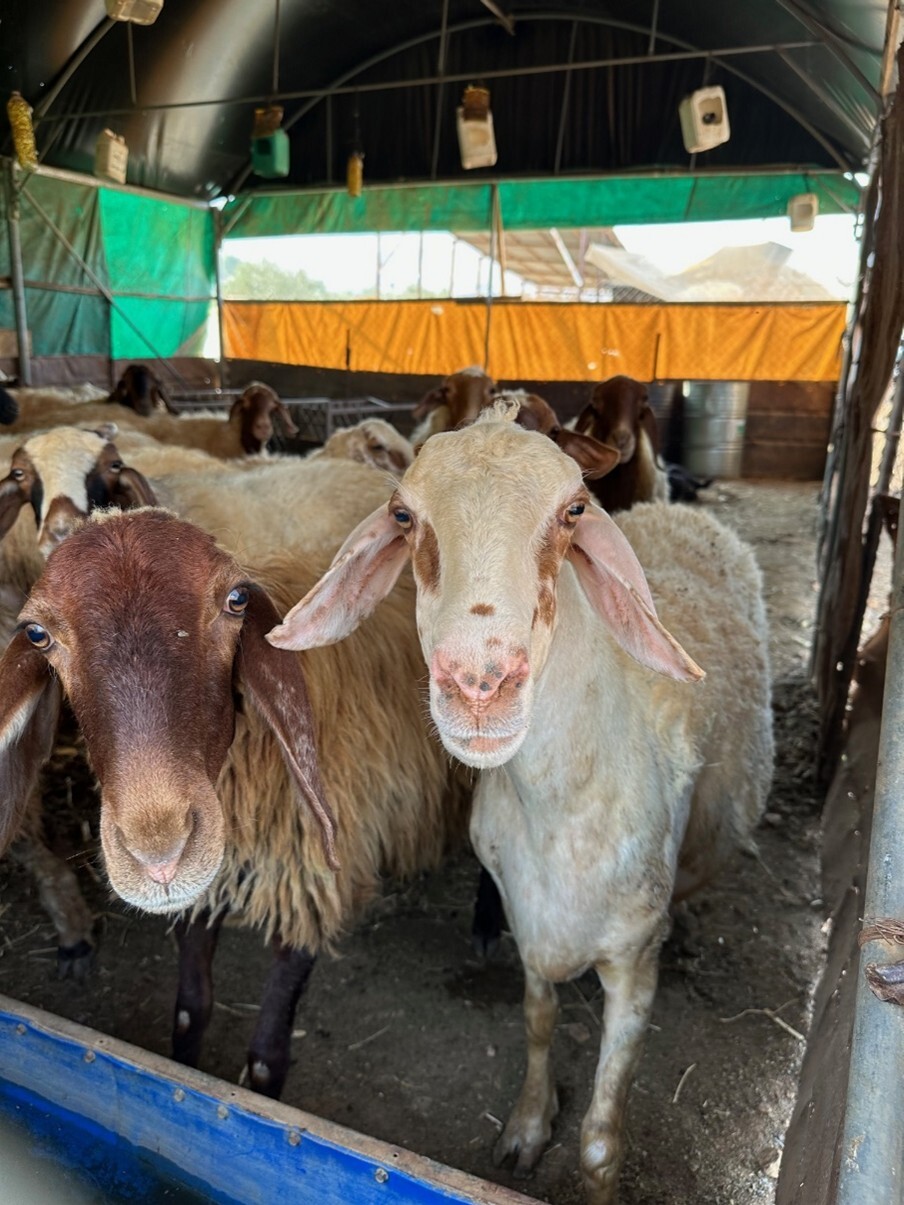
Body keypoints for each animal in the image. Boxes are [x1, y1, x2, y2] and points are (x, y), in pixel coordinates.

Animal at [269, 399, 774, 1203]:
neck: (564, 805)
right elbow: (537, 1022)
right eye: (404, 514)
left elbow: (600, 1142)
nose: (479, 686)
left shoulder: (633, 960)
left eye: (573, 510)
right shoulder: (524, 919)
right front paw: (529, 1126)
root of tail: (684, 512)